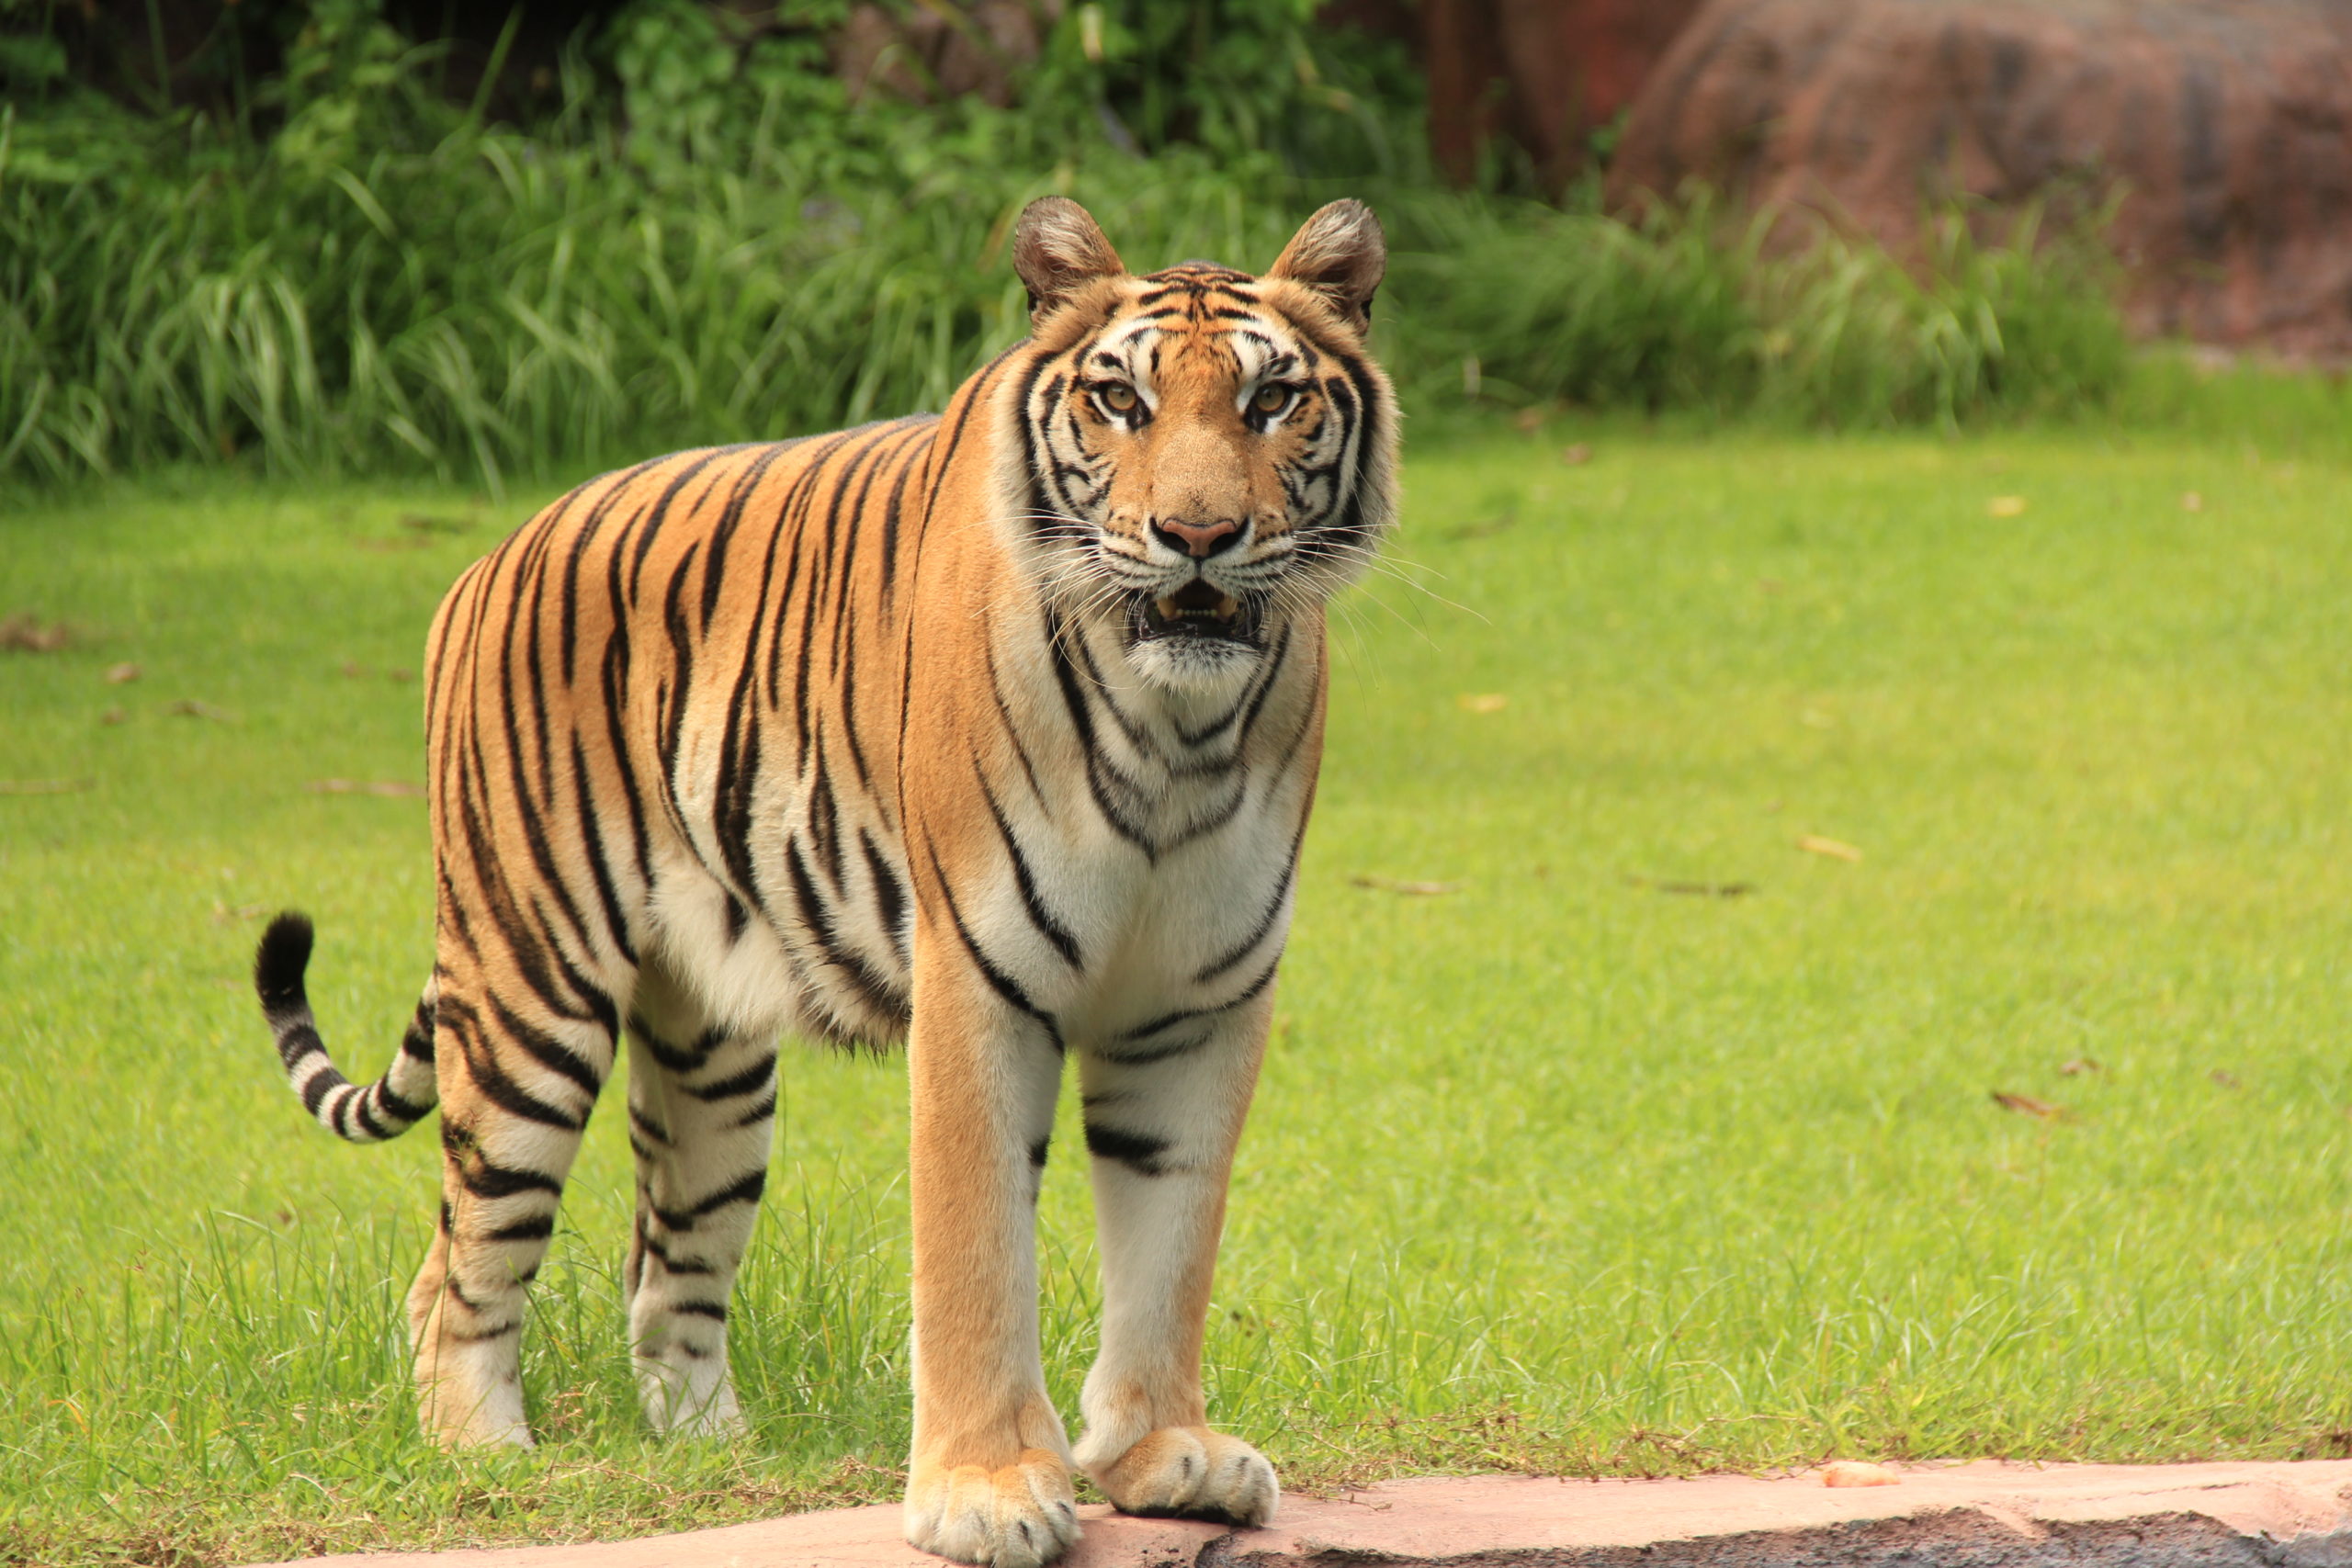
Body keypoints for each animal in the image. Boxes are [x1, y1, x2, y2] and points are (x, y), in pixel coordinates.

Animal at [257, 199, 1392, 1568]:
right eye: (1120, 399)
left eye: (1273, 400)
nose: (1199, 537)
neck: (1179, 727)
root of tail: (490, 559)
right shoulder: (982, 981)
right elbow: (975, 1251)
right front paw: (986, 1491)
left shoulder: (1198, 1000)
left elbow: (1172, 1241)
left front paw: (1160, 1454)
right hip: (530, 991)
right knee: (456, 1268)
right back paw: (489, 1457)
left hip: (712, 1061)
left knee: (665, 1270)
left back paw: (714, 1453)